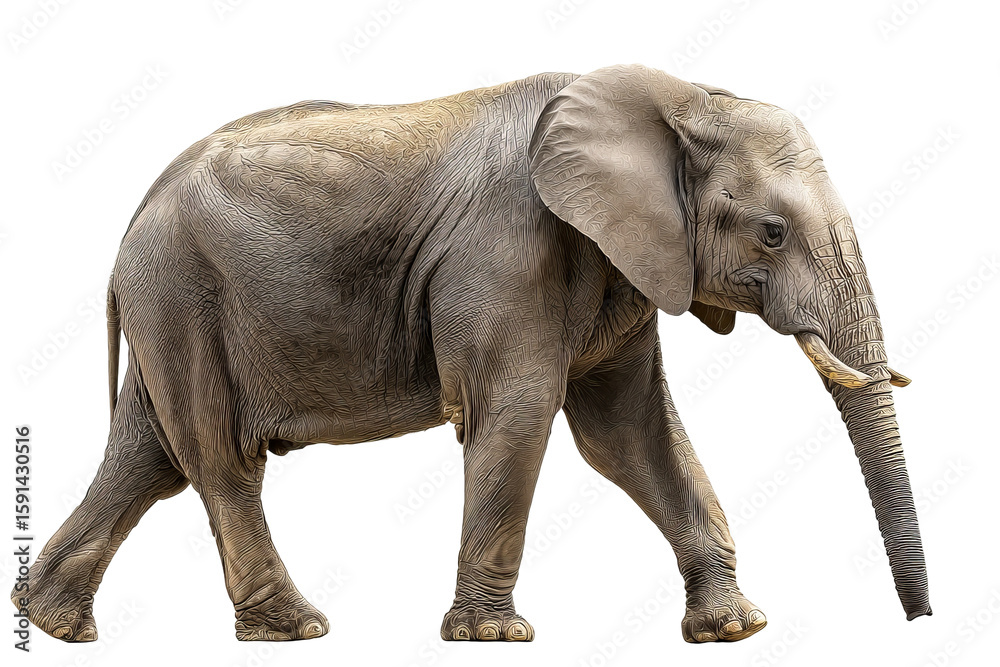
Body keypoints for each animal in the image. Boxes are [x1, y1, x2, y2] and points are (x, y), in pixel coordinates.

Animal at [12, 63, 931, 645]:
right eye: (772, 232)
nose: (920, 622)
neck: (680, 96)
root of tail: (135, 215)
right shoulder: (510, 252)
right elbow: (518, 414)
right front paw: (494, 633)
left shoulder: (620, 270)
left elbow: (629, 436)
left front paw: (736, 629)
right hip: (182, 293)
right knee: (218, 458)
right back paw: (294, 627)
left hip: (169, 305)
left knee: (148, 456)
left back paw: (51, 622)